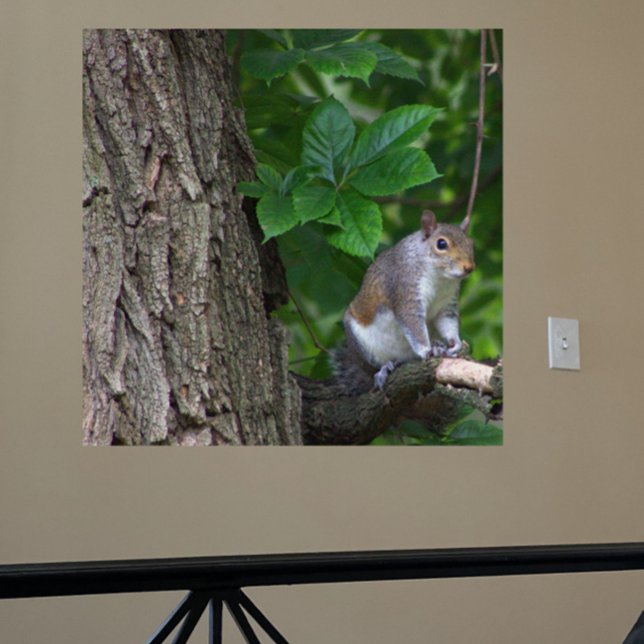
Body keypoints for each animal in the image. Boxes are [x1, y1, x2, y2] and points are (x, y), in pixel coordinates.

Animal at [333, 210, 475, 395]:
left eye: (471, 243)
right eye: (441, 244)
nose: (469, 267)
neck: (440, 278)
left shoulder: (446, 305)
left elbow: (447, 322)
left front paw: (455, 343)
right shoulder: (405, 289)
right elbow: (412, 323)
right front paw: (426, 350)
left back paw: (437, 345)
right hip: (362, 345)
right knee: (375, 366)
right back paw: (385, 369)